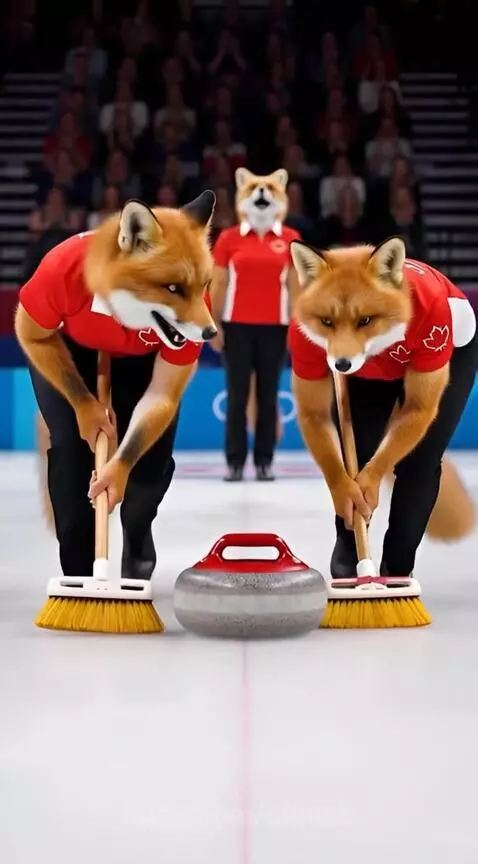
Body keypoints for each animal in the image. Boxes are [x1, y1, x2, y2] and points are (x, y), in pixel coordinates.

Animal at [289, 237, 476, 543]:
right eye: (326, 322)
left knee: (418, 468)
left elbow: (379, 468)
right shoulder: (303, 345)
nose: (341, 364)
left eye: (365, 320)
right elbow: (337, 465)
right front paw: (348, 496)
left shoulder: (434, 331)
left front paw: (367, 487)